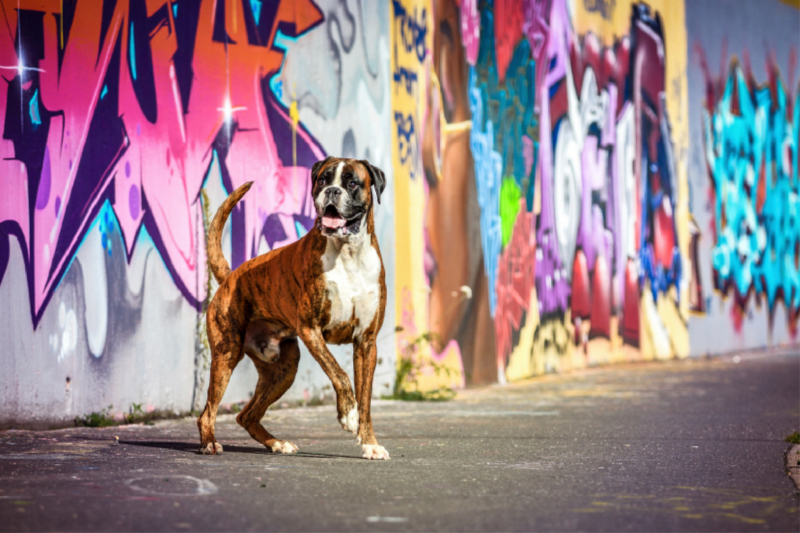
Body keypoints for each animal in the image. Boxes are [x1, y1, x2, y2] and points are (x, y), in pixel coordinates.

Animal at [197, 154, 390, 458]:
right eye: (323, 179)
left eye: (352, 183)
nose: (332, 191)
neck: (347, 251)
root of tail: (230, 277)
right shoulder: (311, 330)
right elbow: (339, 373)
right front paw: (348, 414)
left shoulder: (366, 343)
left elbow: (366, 401)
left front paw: (370, 443)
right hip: (226, 355)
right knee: (208, 412)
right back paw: (209, 443)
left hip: (283, 371)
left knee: (246, 415)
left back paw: (277, 443)